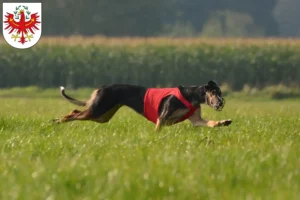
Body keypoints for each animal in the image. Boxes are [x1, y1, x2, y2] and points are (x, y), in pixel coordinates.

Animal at [54, 80, 232, 130]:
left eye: (221, 92)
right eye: (214, 93)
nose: (220, 103)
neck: (191, 95)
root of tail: (101, 88)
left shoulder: (196, 120)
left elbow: (211, 123)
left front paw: (223, 122)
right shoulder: (162, 118)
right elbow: (157, 131)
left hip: (102, 116)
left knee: (75, 110)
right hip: (97, 110)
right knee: (73, 112)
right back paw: (57, 121)